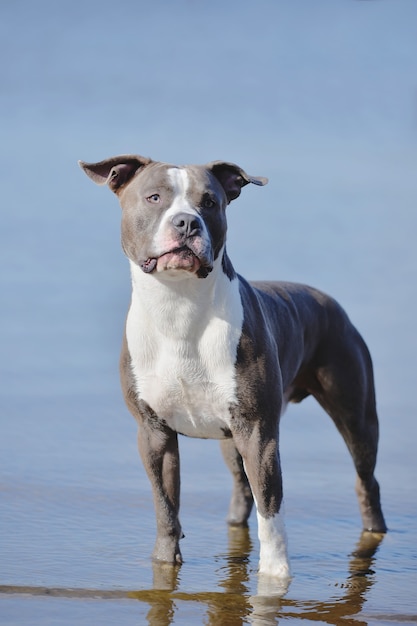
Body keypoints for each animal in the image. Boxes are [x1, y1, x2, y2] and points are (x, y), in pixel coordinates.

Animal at [79, 155, 386, 576]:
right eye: (154, 197)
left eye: (210, 202)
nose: (186, 222)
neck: (179, 308)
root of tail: (328, 301)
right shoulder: (154, 432)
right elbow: (165, 506)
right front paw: (164, 561)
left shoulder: (259, 433)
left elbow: (271, 513)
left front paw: (275, 577)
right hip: (230, 438)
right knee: (242, 487)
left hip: (354, 412)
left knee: (365, 478)